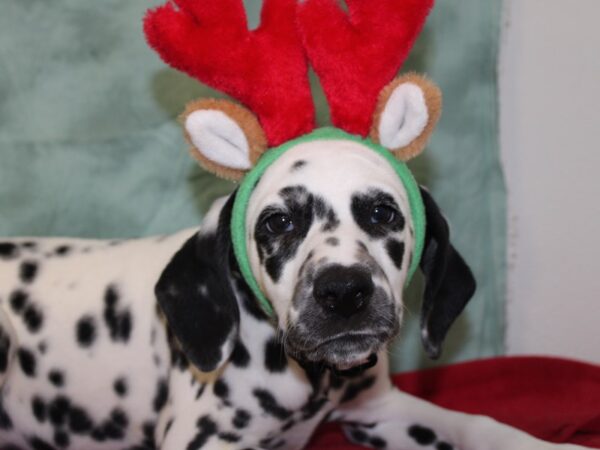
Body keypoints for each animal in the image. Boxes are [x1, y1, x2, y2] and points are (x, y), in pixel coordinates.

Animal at [0, 138, 592, 450]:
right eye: (278, 222)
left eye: (383, 213)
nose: (344, 291)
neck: (312, 379)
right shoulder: (203, 440)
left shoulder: (382, 411)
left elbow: (477, 423)